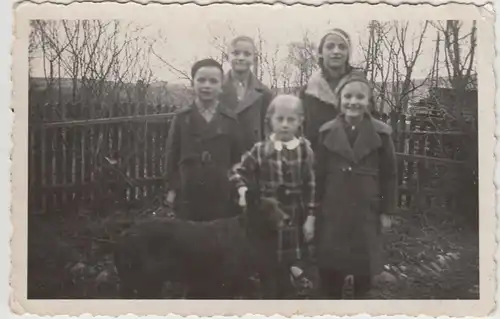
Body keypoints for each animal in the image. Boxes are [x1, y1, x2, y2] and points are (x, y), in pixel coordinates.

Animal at [114, 189, 290, 298]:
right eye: (268, 209)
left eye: (280, 206)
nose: (288, 219)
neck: (250, 233)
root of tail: (123, 235)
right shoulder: (229, 281)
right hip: (145, 281)